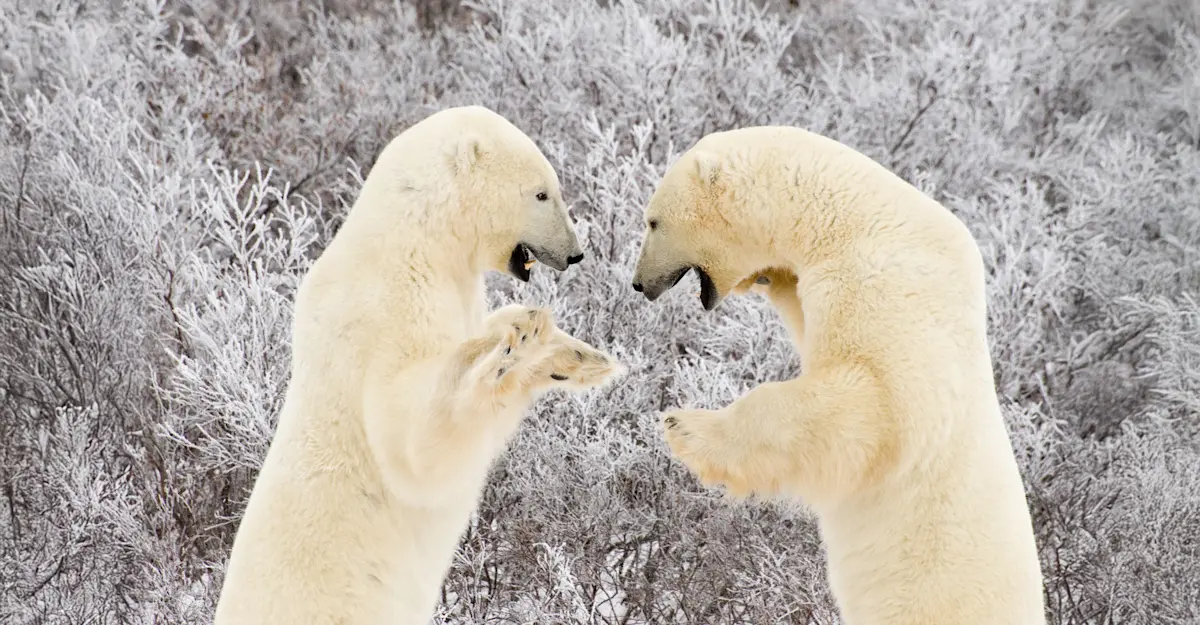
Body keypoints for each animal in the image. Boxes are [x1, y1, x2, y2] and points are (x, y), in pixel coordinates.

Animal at [213, 106, 624, 625]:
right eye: (541, 192)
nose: (574, 253)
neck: (417, 240)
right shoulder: (383, 311)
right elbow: (412, 444)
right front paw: (503, 355)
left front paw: (573, 354)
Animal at [630, 126, 1046, 625]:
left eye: (653, 222)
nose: (639, 284)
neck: (854, 218)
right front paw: (772, 276)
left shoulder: (892, 289)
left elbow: (869, 406)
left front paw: (686, 427)